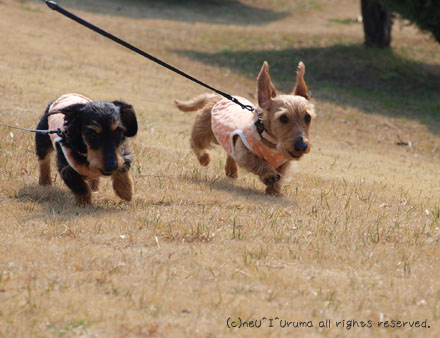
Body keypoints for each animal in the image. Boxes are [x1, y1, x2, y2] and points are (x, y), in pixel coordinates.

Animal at [174, 61, 314, 195]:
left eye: (307, 117)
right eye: (283, 118)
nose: (301, 146)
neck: (271, 142)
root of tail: (215, 96)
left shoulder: (284, 162)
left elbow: (281, 175)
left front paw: (274, 192)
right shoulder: (244, 153)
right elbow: (257, 161)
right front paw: (269, 175)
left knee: (229, 152)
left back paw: (231, 170)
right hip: (203, 132)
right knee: (195, 143)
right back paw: (204, 158)